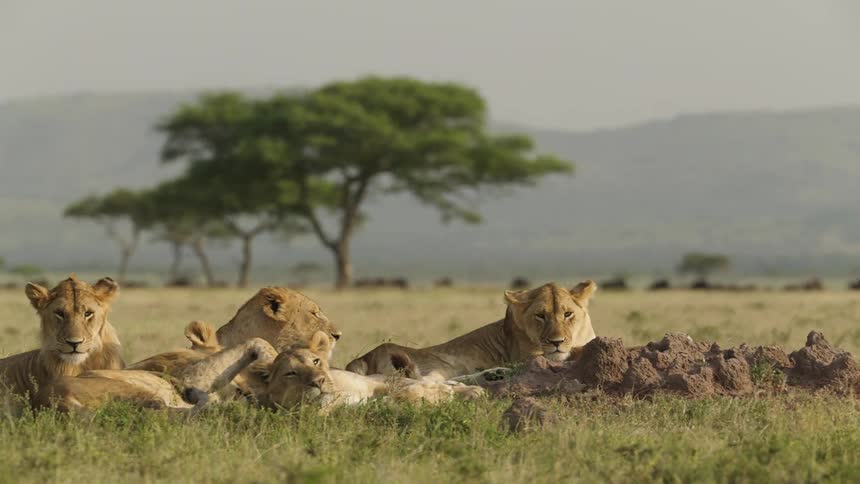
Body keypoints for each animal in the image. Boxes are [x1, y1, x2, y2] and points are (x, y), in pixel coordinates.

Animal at [346, 281, 598, 381]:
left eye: (568, 314)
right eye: (540, 315)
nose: (557, 342)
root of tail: (364, 358)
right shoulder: (527, 358)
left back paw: (494, 374)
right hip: (440, 363)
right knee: (430, 380)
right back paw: (493, 374)